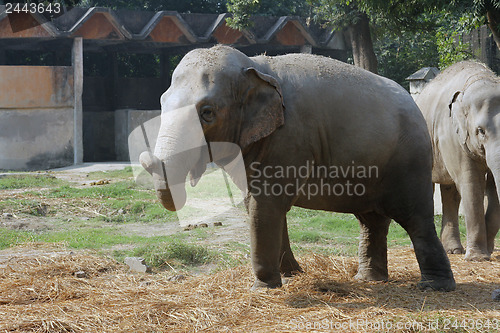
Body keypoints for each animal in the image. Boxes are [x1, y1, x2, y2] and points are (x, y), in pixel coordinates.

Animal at [139, 44, 456, 290]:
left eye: (207, 113)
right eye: (161, 102)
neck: (255, 66)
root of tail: (416, 104)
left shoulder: (289, 138)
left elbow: (265, 205)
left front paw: (263, 288)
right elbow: (257, 204)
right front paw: (290, 276)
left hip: (410, 162)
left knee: (415, 218)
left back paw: (435, 286)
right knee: (372, 221)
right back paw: (368, 280)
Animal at [414, 61, 500, 260]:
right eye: (480, 131)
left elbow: (491, 188)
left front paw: (487, 250)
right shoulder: (453, 137)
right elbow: (471, 184)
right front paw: (477, 258)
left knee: (450, 192)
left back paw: (453, 250)